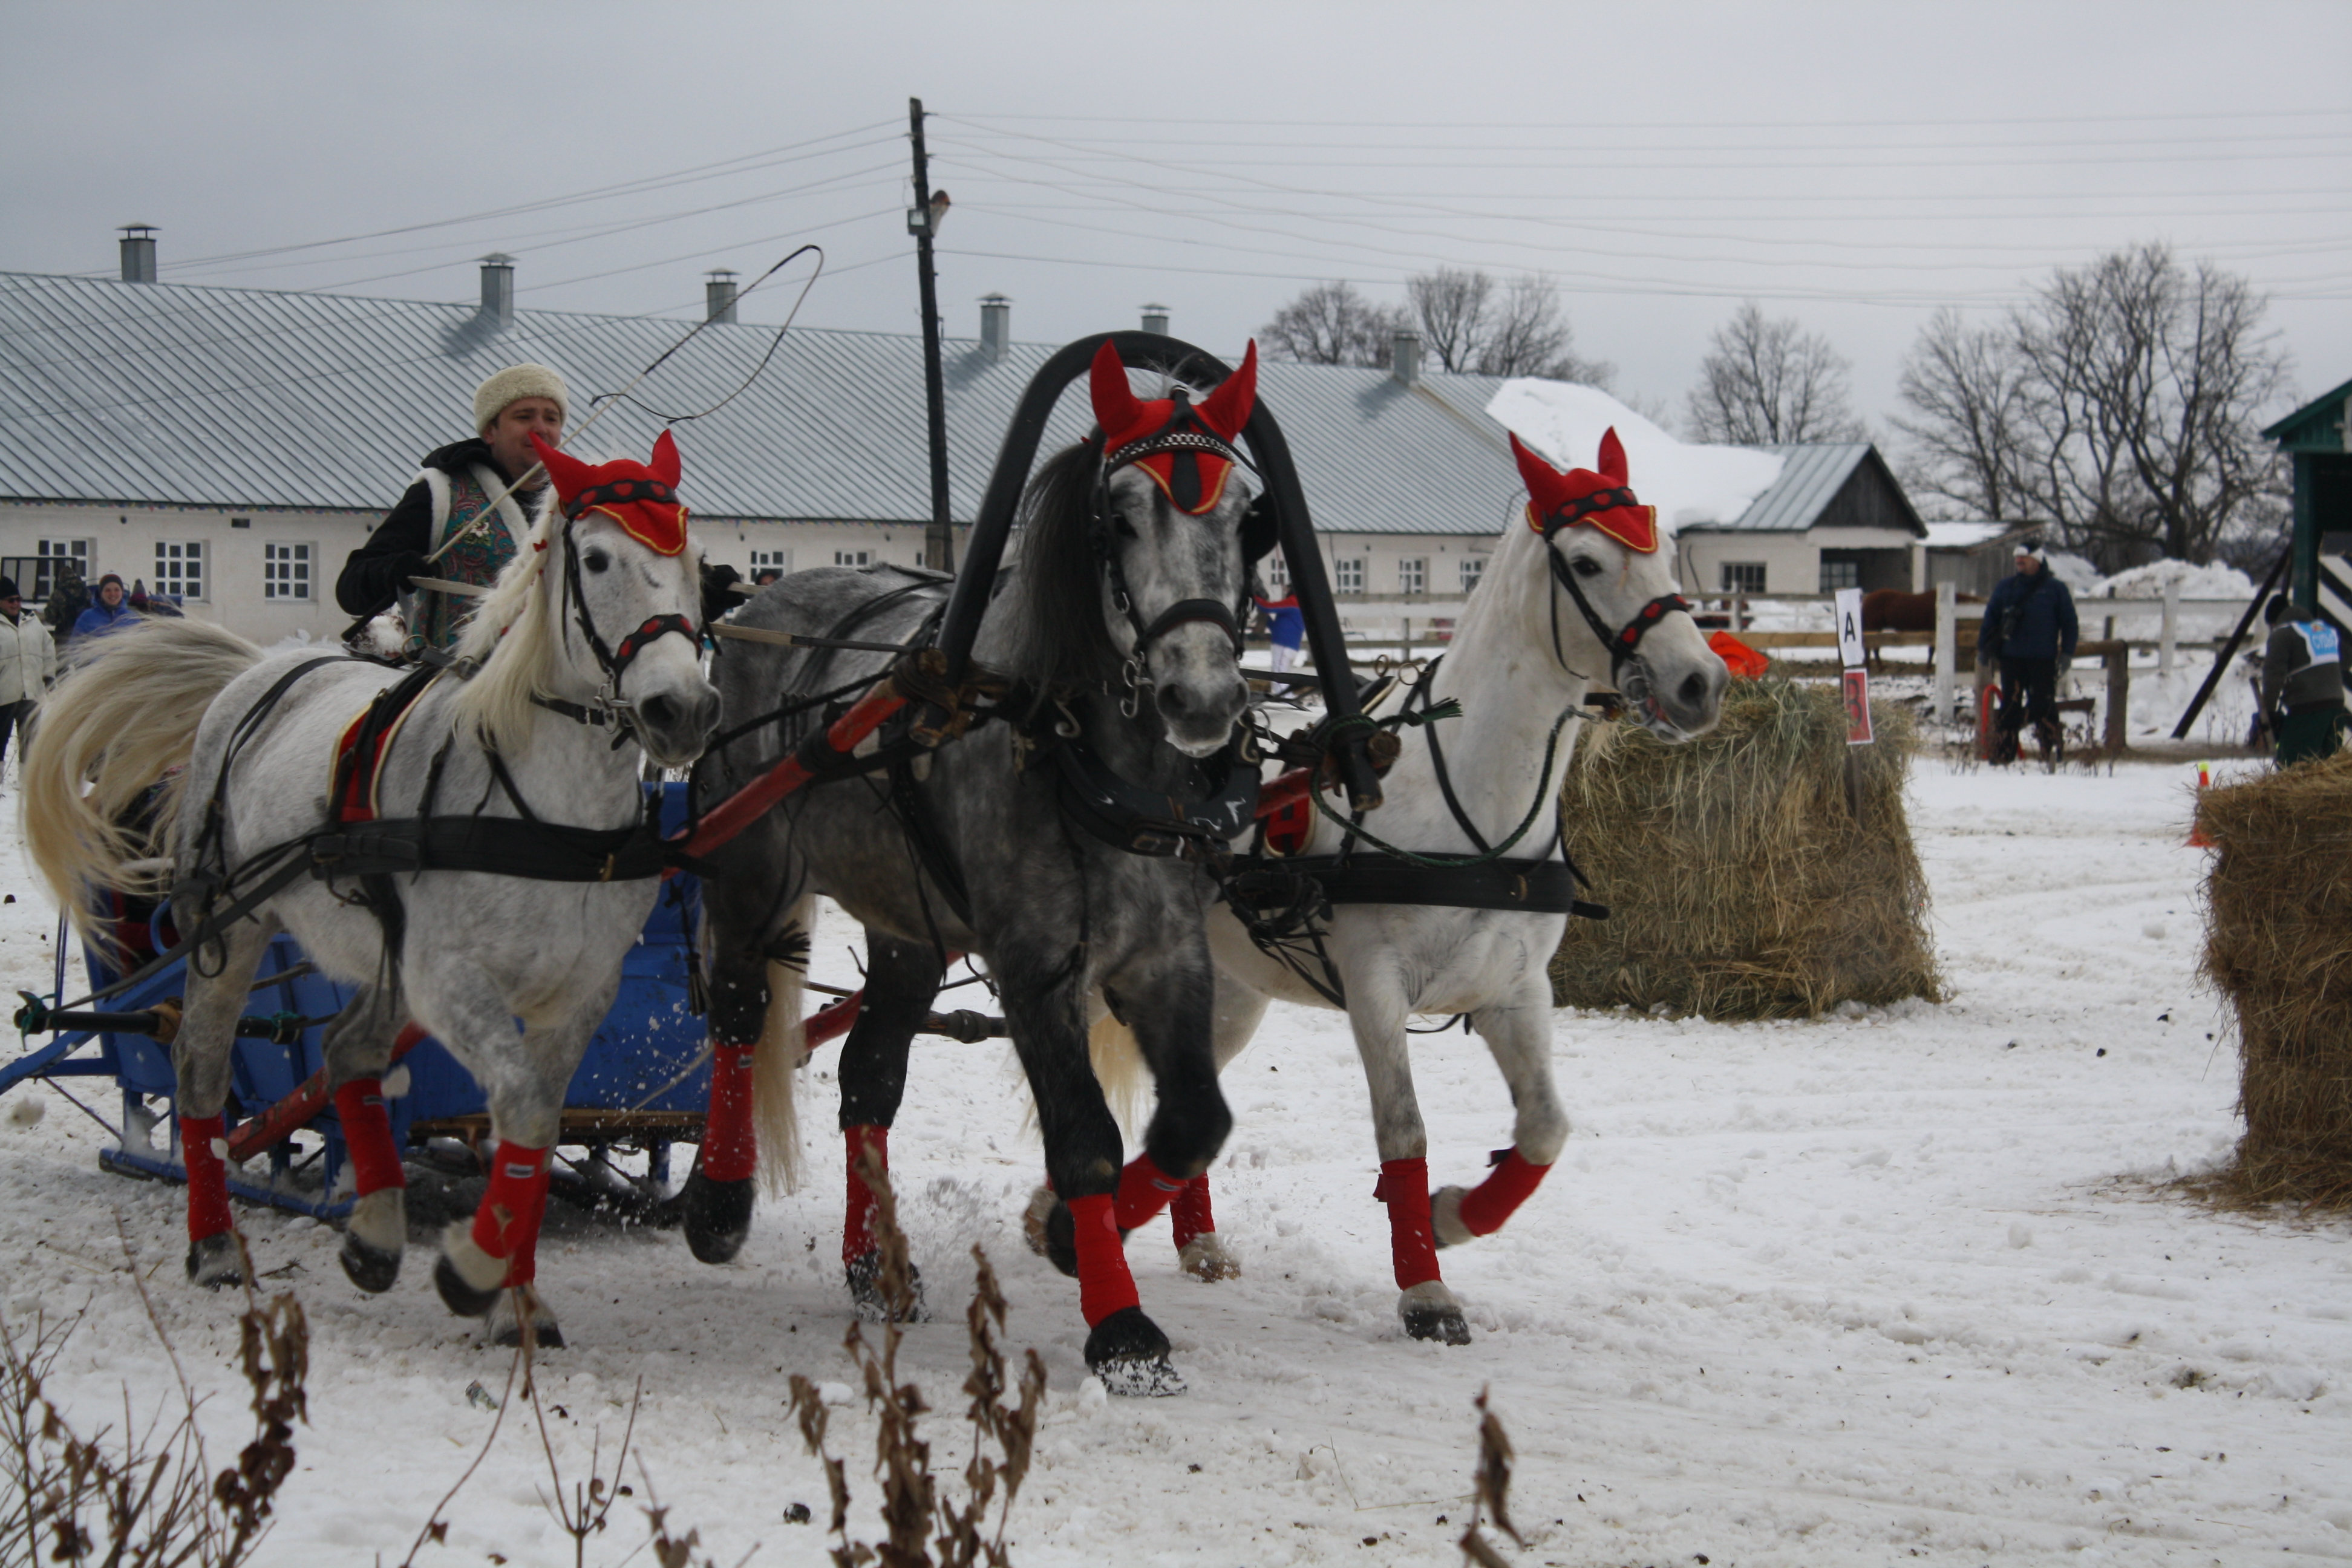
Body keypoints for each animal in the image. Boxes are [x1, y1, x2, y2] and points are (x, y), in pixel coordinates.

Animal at [21, 433, 714, 1354]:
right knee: (200, 1073)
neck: (547, 809)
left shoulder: (583, 992)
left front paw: (517, 1297)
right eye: (598, 558)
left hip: (385, 963)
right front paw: (474, 1274)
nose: (683, 710)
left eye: (694, 560)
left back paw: (376, 1233)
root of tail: (268, 666)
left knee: (348, 1049)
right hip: (230, 931)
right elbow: (526, 1111)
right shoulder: (451, 979)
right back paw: (215, 1247)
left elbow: (534, 1126)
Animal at [1096, 433, 1731, 1354]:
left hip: (1235, 995)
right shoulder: (1375, 987)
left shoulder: (1515, 992)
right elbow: (1404, 1127)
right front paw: (1425, 1288)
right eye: (1585, 560)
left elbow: (1545, 1130)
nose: (1700, 683)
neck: (1471, 799)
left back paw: (1190, 1239)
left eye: (1668, 553)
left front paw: (1455, 1215)